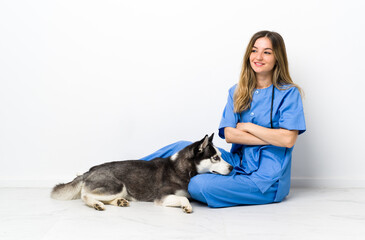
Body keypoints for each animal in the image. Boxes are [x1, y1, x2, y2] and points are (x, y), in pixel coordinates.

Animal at [50, 133, 232, 214]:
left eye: (221, 155)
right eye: (216, 158)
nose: (232, 168)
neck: (181, 168)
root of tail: (90, 170)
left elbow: (186, 196)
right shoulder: (162, 197)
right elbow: (183, 198)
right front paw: (186, 205)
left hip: (121, 190)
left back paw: (119, 202)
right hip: (118, 186)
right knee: (85, 195)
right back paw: (97, 204)